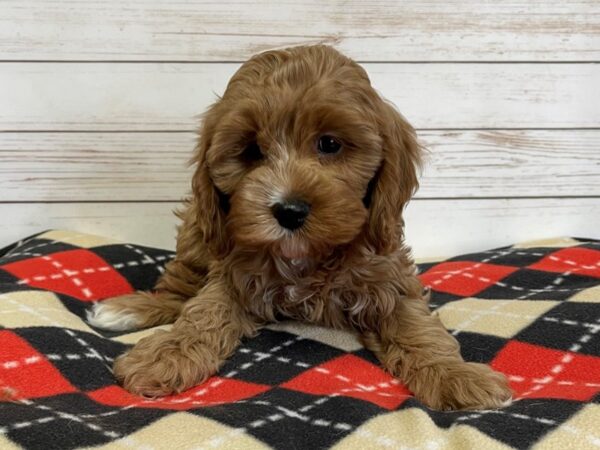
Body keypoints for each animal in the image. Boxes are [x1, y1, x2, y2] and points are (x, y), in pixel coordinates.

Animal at [89, 45, 510, 412]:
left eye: (329, 144)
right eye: (252, 151)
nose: (289, 210)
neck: (308, 255)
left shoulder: (389, 280)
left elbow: (418, 329)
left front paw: (457, 377)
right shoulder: (233, 270)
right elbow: (204, 311)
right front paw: (167, 355)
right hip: (198, 232)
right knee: (179, 292)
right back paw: (128, 309)